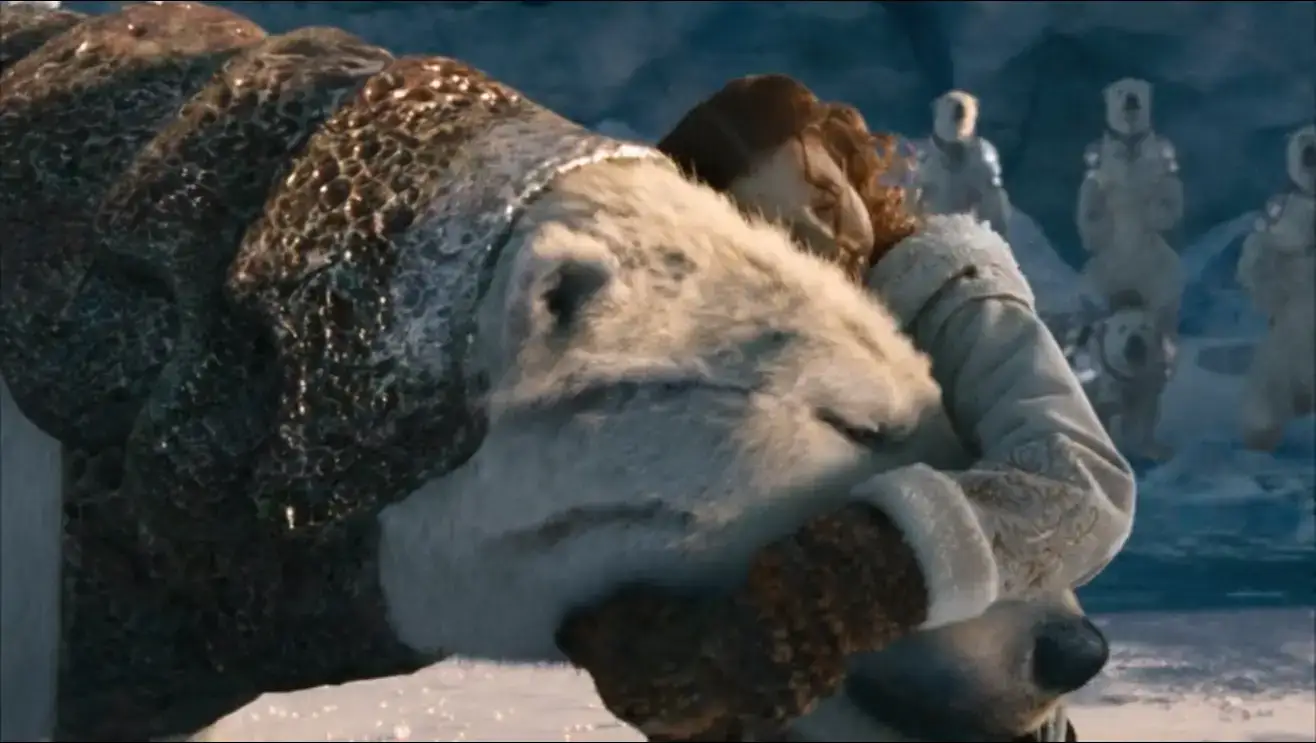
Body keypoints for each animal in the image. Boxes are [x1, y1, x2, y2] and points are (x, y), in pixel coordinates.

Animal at [912, 90, 1012, 239]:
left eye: (968, 100)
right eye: (949, 99)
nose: (960, 106)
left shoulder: (979, 161)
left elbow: (989, 195)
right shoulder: (932, 164)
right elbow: (923, 184)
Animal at [1077, 78, 1185, 336]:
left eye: (1139, 88)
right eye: (1119, 90)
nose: (1131, 99)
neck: (1130, 147)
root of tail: (1130, 294)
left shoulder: (1157, 156)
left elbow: (1170, 191)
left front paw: (1157, 208)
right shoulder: (1103, 158)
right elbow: (1090, 193)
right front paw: (1096, 225)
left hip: (1160, 267)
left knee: (1166, 297)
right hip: (1101, 270)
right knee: (1089, 294)